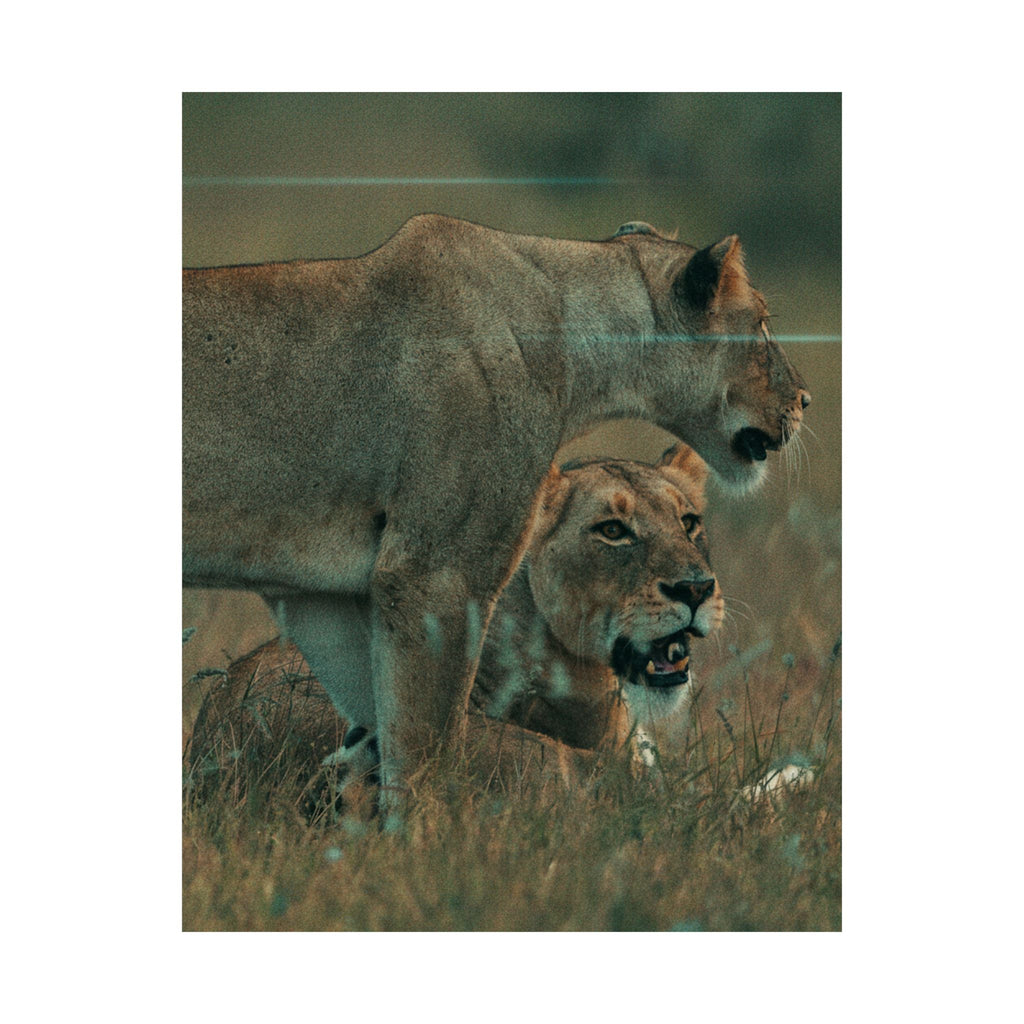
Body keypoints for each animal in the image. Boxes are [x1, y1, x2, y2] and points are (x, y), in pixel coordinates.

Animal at [183, 215, 809, 813]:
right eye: (760, 324)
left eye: (689, 523)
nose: (805, 400)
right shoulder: (434, 574)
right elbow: (428, 754)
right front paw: (425, 844)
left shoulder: (323, 599)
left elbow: (380, 730)